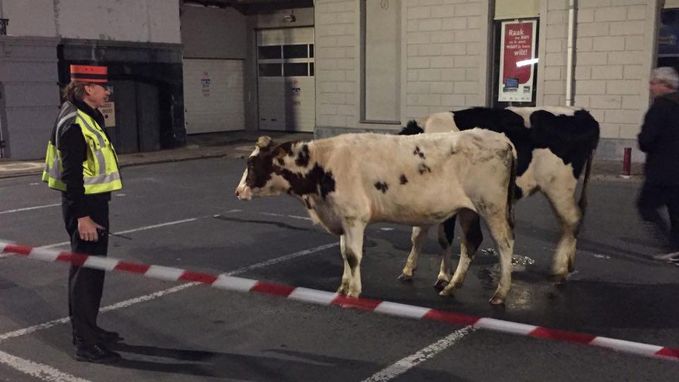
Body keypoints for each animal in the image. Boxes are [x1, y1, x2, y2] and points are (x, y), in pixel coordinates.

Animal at [236, 131, 516, 304]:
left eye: (251, 164)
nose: (237, 191)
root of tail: (501, 138)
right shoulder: (342, 218)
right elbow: (344, 254)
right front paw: (342, 287)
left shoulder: (354, 217)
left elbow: (353, 256)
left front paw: (353, 292)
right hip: (469, 211)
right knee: (470, 243)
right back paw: (451, 286)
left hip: (491, 207)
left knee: (504, 244)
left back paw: (501, 293)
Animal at [398, 104, 600, 286]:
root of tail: (584, 114)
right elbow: (420, 234)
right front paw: (411, 270)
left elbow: (442, 237)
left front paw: (441, 276)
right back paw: (568, 264)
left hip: (559, 187)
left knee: (572, 220)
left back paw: (560, 270)